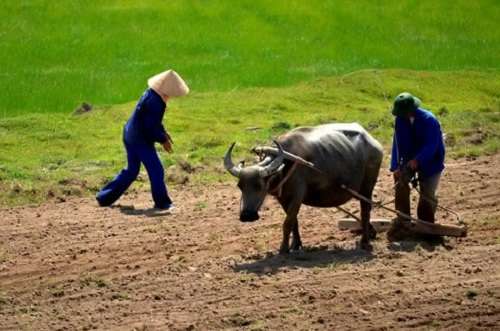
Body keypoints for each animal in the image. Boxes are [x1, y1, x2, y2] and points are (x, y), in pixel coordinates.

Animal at [225, 123, 384, 253]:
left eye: (259, 186)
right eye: (240, 186)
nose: (247, 216)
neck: (286, 164)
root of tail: (375, 144)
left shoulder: (297, 196)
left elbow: (287, 223)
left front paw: (283, 249)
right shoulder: (283, 199)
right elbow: (293, 221)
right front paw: (295, 245)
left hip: (367, 187)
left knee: (365, 211)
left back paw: (365, 242)